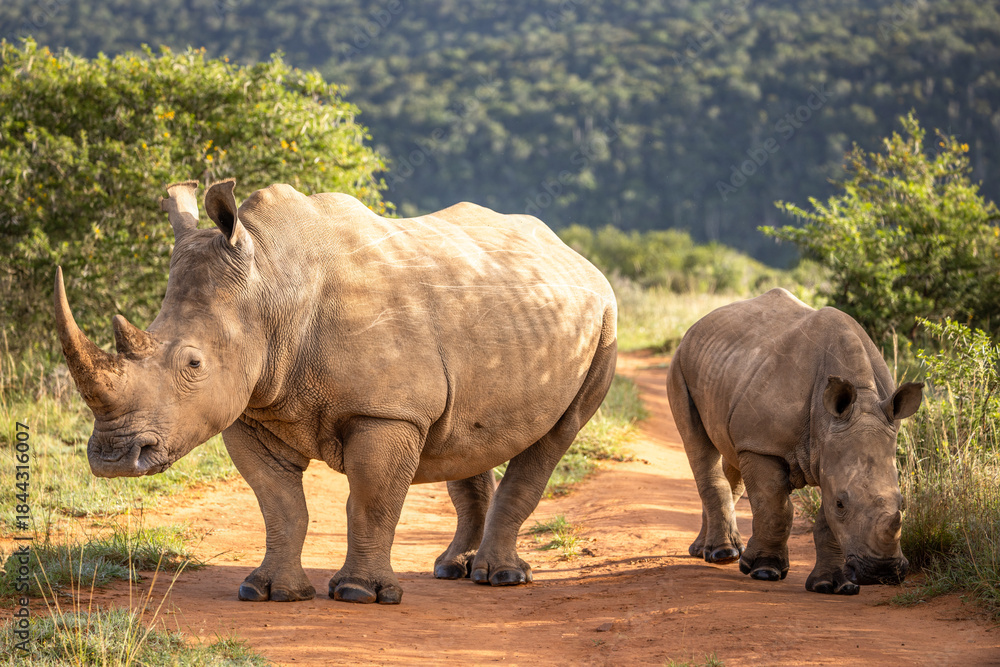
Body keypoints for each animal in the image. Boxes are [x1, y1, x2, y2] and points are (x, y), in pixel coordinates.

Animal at [55, 179, 617, 604]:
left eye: (193, 364)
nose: (112, 459)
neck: (270, 287)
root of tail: (577, 257)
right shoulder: (252, 409)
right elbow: (279, 504)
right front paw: (269, 592)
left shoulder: (387, 412)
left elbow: (370, 500)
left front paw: (357, 593)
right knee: (467, 436)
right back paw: (451, 569)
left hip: (605, 320)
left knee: (556, 437)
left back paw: (499, 578)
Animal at [666, 288, 922, 595]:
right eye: (842, 504)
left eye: (903, 502)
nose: (881, 572)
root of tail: (696, 326)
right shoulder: (762, 445)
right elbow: (774, 507)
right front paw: (764, 571)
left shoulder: (832, 450)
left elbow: (826, 523)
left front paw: (832, 586)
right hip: (680, 364)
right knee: (700, 449)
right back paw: (722, 555)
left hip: (724, 367)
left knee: (730, 460)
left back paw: (707, 550)